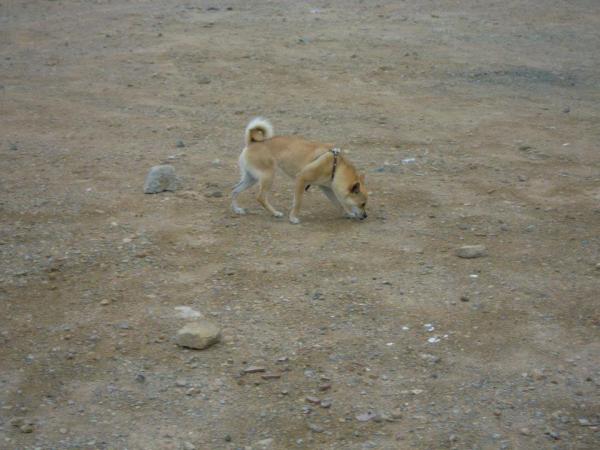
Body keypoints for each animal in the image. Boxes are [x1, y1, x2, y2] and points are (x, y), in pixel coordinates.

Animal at [231, 118, 368, 223]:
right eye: (362, 204)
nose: (365, 216)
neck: (336, 166)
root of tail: (253, 142)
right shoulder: (301, 180)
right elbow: (298, 202)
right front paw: (293, 218)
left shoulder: (327, 188)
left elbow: (338, 203)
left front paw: (347, 213)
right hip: (268, 176)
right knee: (260, 197)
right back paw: (275, 213)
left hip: (251, 179)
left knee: (235, 190)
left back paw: (237, 210)